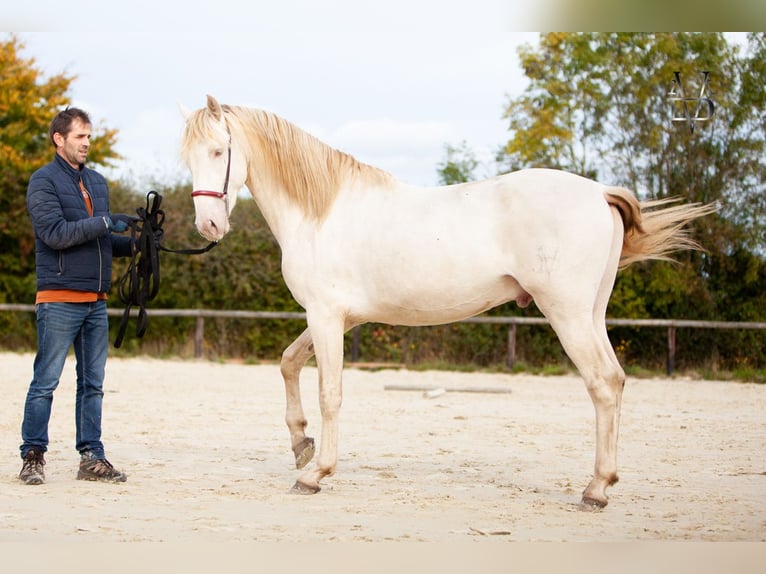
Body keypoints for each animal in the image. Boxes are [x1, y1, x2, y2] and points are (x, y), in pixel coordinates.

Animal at [180, 97, 720, 510]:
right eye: (189, 157)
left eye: (219, 150)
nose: (209, 226)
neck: (321, 212)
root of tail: (598, 191)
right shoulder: (333, 319)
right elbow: (289, 363)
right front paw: (300, 444)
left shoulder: (327, 318)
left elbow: (329, 393)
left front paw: (315, 474)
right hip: (592, 314)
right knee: (617, 380)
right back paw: (603, 483)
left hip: (567, 314)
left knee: (603, 385)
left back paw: (595, 490)